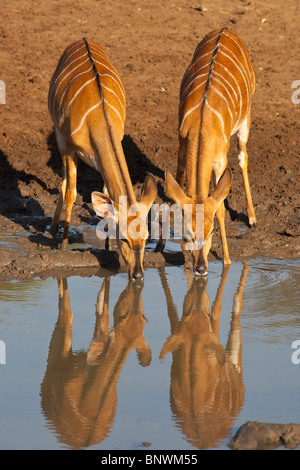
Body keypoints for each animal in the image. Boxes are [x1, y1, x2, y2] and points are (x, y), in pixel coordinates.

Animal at [47, 38, 157, 280]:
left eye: (146, 238)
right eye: (124, 237)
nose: (138, 275)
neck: (99, 118)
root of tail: (82, 40)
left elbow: (106, 197)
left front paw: (106, 246)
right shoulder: (71, 149)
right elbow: (72, 192)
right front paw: (64, 245)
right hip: (59, 136)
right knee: (65, 183)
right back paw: (54, 229)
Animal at [164, 26, 255, 276]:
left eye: (211, 231)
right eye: (188, 233)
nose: (201, 268)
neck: (202, 124)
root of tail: (225, 29)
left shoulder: (220, 161)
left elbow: (221, 208)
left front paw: (227, 261)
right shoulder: (181, 149)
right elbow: (176, 192)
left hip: (246, 119)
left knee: (243, 158)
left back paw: (252, 218)